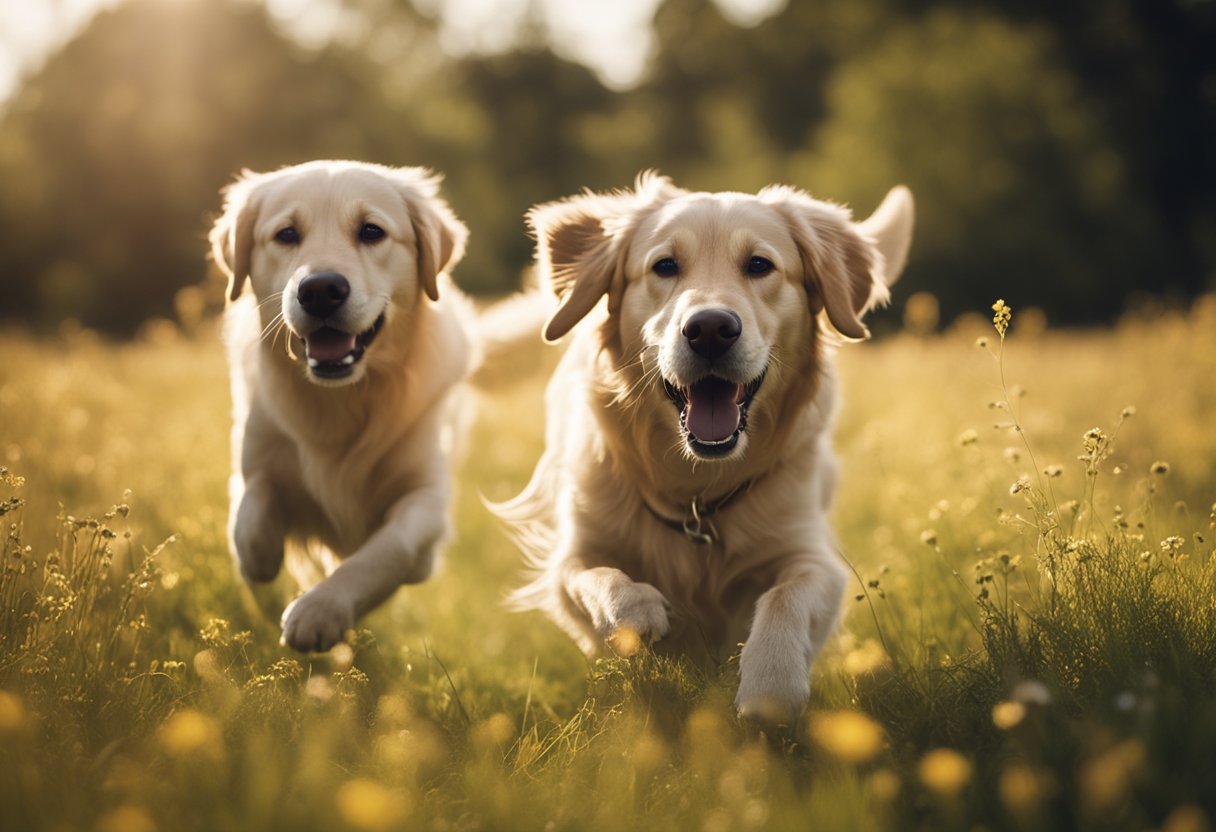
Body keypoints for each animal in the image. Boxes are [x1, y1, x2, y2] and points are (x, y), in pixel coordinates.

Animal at [209, 159, 474, 651]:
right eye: (287, 234)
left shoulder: (428, 497)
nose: (320, 290)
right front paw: (264, 553)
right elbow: (252, 514)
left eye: (371, 231)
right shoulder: (255, 455)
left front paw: (321, 609)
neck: (344, 397)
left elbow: (387, 550)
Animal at [493, 173, 914, 720]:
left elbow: (786, 597)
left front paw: (771, 685)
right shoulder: (571, 554)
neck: (698, 490)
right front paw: (635, 611)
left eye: (759, 265)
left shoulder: (811, 553)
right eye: (664, 266)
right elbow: (596, 575)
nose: (710, 328)